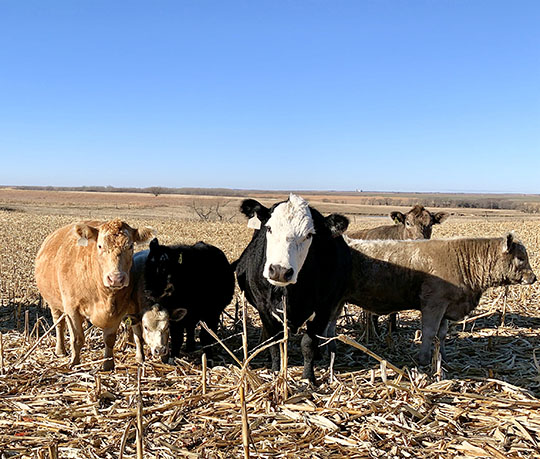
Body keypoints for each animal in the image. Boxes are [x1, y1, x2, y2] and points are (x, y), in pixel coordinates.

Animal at [35, 219, 154, 370]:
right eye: (100, 246)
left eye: (130, 246)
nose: (116, 278)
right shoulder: (72, 309)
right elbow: (77, 338)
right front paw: (74, 363)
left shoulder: (118, 310)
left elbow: (109, 339)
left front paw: (108, 364)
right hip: (54, 304)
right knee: (59, 324)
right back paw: (60, 350)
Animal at [234, 192, 352, 382]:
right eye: (269, 228)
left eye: (309, 235)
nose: (280, 271)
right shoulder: (264, 309)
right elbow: (275, 343)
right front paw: (276, 373)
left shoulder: (324, 308)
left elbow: (308, 344)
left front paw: (308, 378)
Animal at [342, 234, 536, 366]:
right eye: (520, 258)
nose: (533, 277)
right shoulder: (434, 304)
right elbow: (429, 332)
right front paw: (423, 359)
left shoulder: (447, 307)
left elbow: (442, 334)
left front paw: (443, 356)